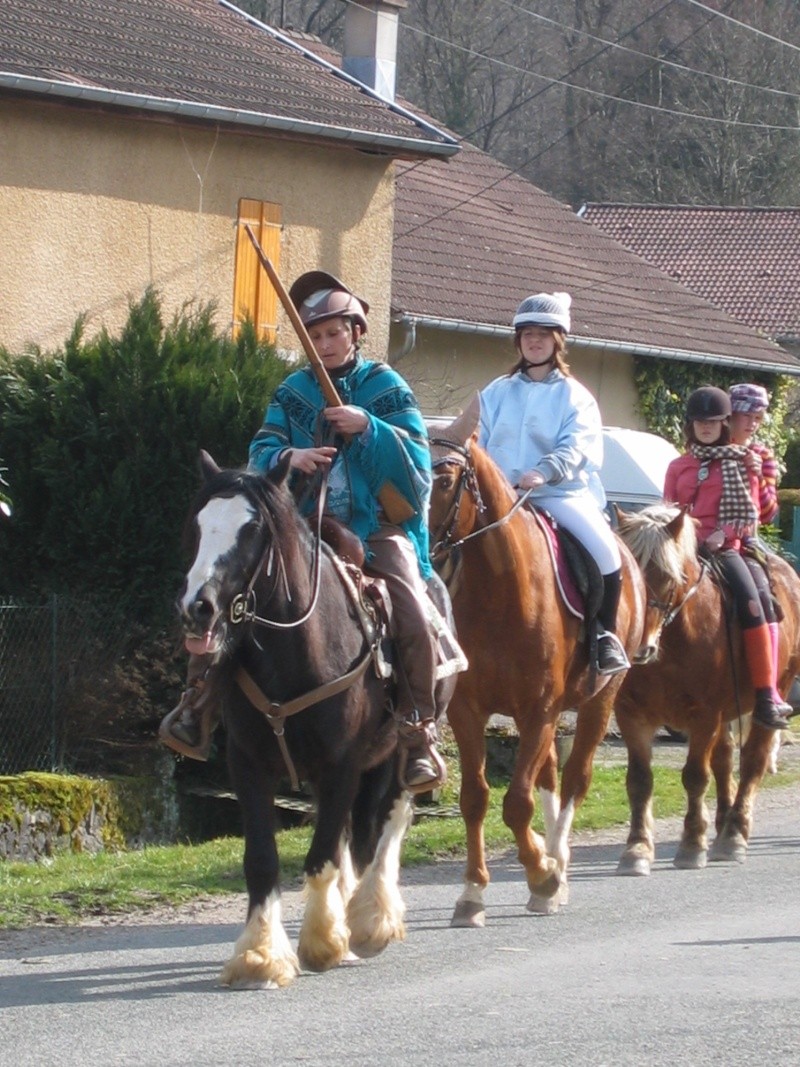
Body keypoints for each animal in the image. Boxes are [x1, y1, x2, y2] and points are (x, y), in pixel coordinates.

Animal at [177, 450, 452, 981]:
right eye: (198, 525)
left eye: (253, 529)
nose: (197, 608)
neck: (295, 652)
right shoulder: (248, 764)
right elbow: (262, 859)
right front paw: (259, 954)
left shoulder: (342, 763)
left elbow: (323, 855)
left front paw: (323, 940)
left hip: (399, 753)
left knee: (387, 824)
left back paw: (371, 918)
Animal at [428, 401, 648, 926]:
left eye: (444, 480)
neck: (498, 591)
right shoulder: (468, 712)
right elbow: (476, 799)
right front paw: (473, 893)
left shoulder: (539, 710)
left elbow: (517, 803)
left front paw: (543, 875)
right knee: (549, 776)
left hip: (598, 701)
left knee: (573, 780)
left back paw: (558, 867)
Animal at [618, 507, 797, 874]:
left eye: (668, 578)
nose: (640, 647)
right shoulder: (632, 715)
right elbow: (639, 780)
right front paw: (637, 849)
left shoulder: (704, 716)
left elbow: (695, 776)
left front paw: (691, 845)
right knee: (725, 760)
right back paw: (722, 826)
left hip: (773, 693)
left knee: (753, 760)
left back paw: (734, 834)